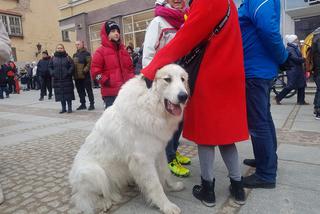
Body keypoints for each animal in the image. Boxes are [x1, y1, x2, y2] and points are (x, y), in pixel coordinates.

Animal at [69, 64, 190, 214]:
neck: (149, 104)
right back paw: (103, 203)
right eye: (167, 79)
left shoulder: (159, 150)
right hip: (94, 172)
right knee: (85, 200)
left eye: (183, 79)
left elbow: (165, 172)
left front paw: (172, 187)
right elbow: (155, 185)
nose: (184, 96)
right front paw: (166, 206)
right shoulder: (143, 159)